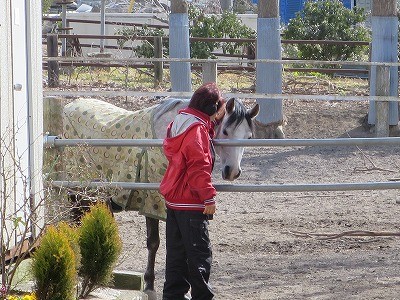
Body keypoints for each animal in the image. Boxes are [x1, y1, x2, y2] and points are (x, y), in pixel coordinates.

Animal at [62, 97, 266, 298]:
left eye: (249, 137)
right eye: (225, 131)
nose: (232, 172)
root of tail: (70, 105)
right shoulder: (151, 201)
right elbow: (154, 242)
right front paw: (150, 285)